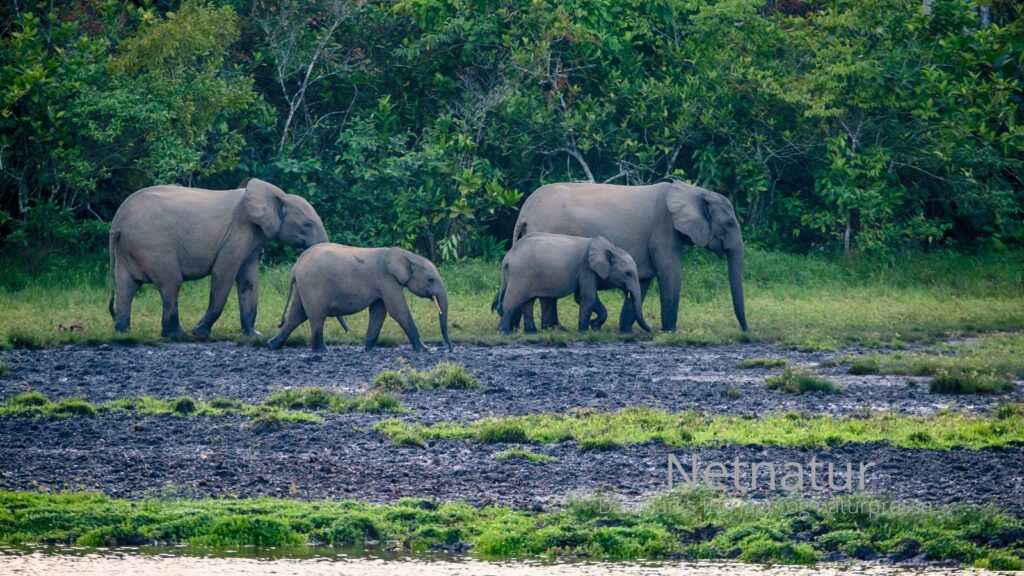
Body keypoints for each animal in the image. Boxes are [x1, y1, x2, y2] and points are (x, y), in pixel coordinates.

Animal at [108, 178, 328, 339]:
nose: (278, 324)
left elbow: (249, 279)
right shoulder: (237, 232)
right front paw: (200, 333)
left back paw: (123, 332)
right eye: (308, 224)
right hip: (153, 244)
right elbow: (224, 273)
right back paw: (178, 335)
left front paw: (253, 335)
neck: (278, 195)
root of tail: (117, 223)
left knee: (126, 285)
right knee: (171, 282)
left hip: (130, 247)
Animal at [267, 243, 453, 352]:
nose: (450, 349)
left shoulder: (382, 283)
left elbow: (379, 311)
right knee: (316, 317)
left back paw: (273, 345)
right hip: (313, 285)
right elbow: (397, 310)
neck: (408, 255)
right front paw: (424, 349)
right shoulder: (386, 279)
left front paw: (367, 349)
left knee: (297, 316)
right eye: (431, 280)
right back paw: (322, 351)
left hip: (303, 286)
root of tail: (296, 266)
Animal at [494, 233, 653, 334]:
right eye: (628, 273)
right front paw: (584, 331)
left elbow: (582, 298)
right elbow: (587, 298)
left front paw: (594, 326)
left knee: (528, 303)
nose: (651, 330)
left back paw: (531, 332)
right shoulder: (586, 269)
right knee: (512, 301)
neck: (610, 248)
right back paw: (503, 333)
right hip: (520, 275)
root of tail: (507, 258)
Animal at [510, 179, 747, 333]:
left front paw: (627, 332)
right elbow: (669, 274)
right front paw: (670, 332)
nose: (745, 331)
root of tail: (525, 213)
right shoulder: (663, 230)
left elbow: (643, 280)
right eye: (729, 223)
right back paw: (553, 329)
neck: (693, 192)